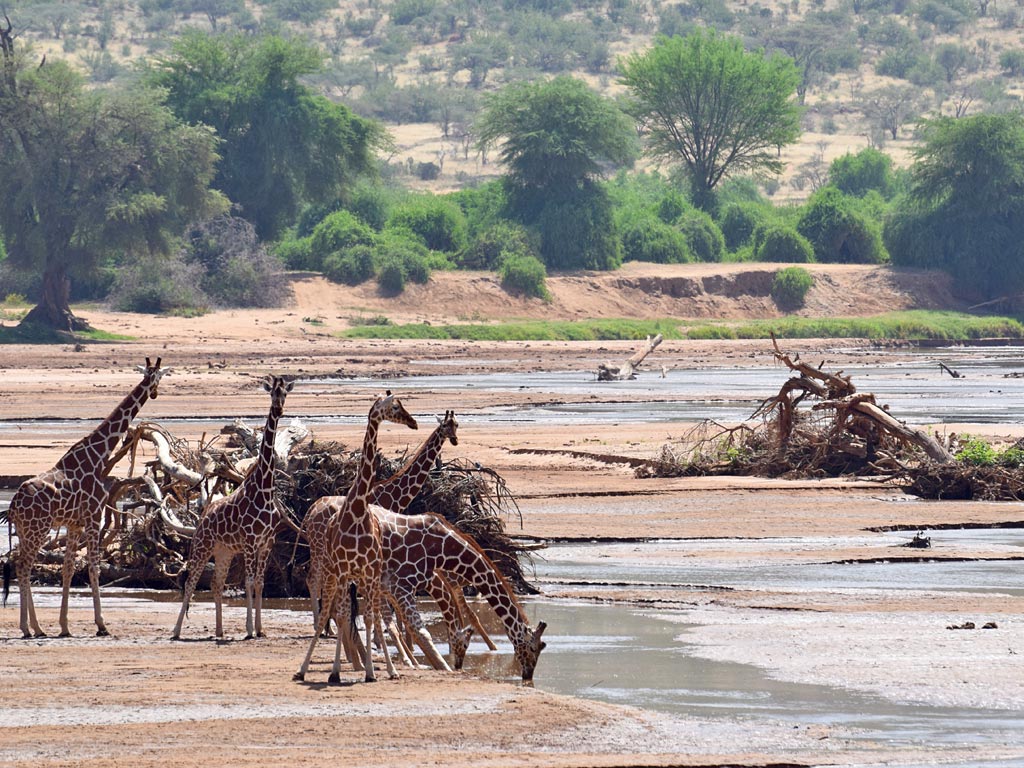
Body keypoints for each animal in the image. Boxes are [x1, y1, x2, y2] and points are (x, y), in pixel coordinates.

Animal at [1, 358, 167, 638]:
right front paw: (101, 624)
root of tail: (13, 505)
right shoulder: (93, 516)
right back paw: (28, 627)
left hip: (25, 531)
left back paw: (36, 627)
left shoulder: (74, 524)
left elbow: (68, 569)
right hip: (38, 529)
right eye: (154, 377)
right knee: (23, 566)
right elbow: (93, 567)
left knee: (21, 566)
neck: (99, 454)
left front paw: (64, 626)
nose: (154, 392)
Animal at [174, 376, 294, 638]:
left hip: (224, 551)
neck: (264, 488)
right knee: (190, 581)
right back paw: (176, 630)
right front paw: (249, 629)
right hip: (202, 545)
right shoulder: (250, 541)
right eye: (272, 394)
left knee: (216, 583)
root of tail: (203, 516)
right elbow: (248, 582)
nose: (279, 410)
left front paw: (260, 629)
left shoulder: (266, 543)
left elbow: (259, 582)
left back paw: (219, 631)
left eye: (285, 394)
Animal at [292, 393, 415, 684]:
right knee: (333, 609)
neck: (358, 509)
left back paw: (387, 669)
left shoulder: (368, 572)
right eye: (395, 407)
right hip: (334, 572)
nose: (413, 422)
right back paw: (308, 667)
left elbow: (369, 619)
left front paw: (371, 670)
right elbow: (341, 614)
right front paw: (334, 671)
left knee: (372, 616)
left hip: (365, 577)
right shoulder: (342, 571)